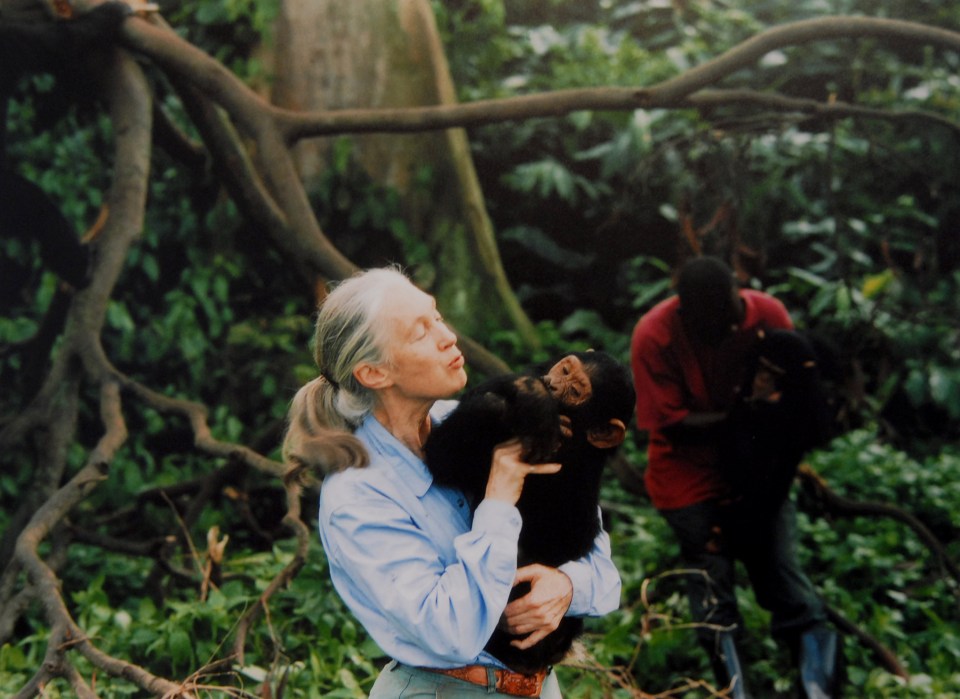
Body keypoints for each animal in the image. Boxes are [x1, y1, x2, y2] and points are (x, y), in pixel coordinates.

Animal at [424, 352, 632, 676]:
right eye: (565, 369)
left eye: (576, 391)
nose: (551, 384)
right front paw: (532, 395)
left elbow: (442, 458)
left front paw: (532, 399)